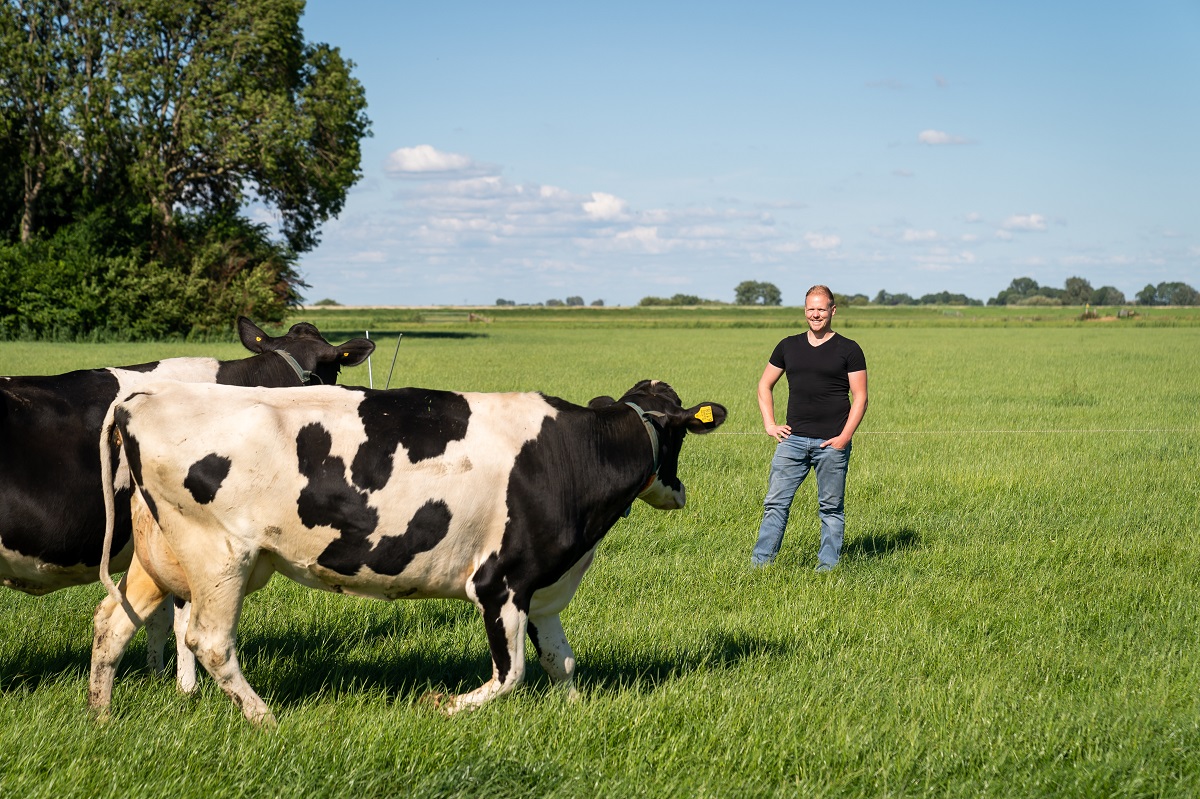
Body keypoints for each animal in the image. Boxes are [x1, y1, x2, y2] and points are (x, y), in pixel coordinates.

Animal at [88, 379, 726, 726]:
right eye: (679, 435)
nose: (679, 491)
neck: (572, 455)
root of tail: (144, 396)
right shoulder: (499, 582)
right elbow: (512, 673)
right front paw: (441, 706)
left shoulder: (543, 585)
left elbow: (559, 661)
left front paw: (573, 712)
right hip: (219, 555)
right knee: (210, 642)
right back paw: (266, 720)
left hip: (160, 555)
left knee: (111, 622)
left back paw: (101, 714)